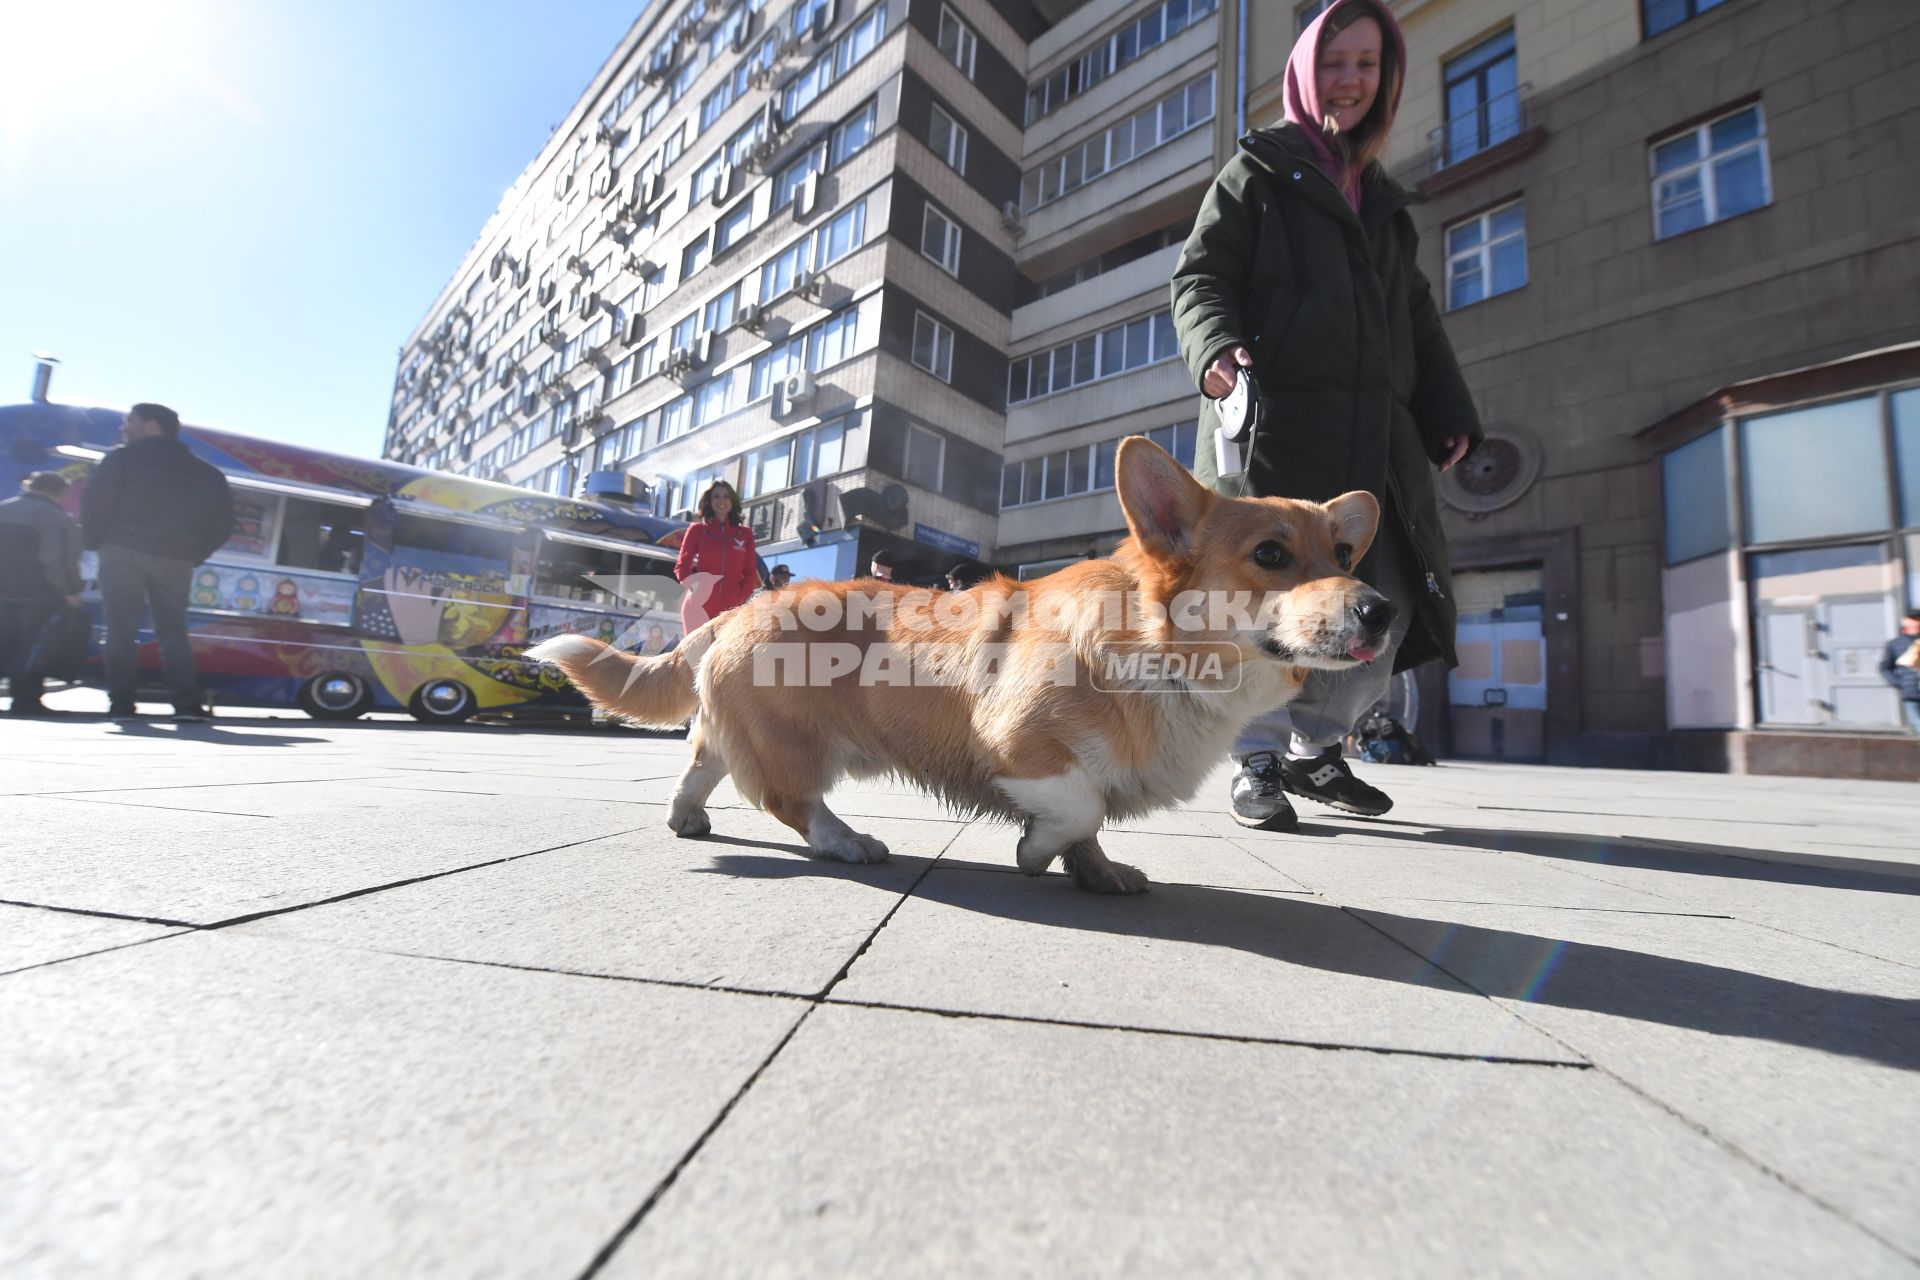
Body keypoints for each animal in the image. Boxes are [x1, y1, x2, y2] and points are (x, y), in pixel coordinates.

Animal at [529, 437, 1397, 890]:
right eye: (1270, 555)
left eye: (1343, 553)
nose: (1384, 611)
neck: (1161, 650)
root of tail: (740, 607)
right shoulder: (1026, 748)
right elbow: (1076, 808)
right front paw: (1034, 856)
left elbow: (1093, 832)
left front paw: (1102, 874)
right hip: (798, 742)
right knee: (787, 799)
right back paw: (847, 842)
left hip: (746, 727)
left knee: (701, 758)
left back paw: (686, 817)